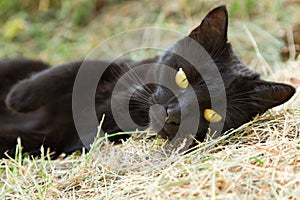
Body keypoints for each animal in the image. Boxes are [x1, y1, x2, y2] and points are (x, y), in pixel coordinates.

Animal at [0, 6, 296, 159]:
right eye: (182, 77)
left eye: (211, 114)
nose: (173, 113)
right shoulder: (115, 68)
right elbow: (66, 71)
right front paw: (20, 97)